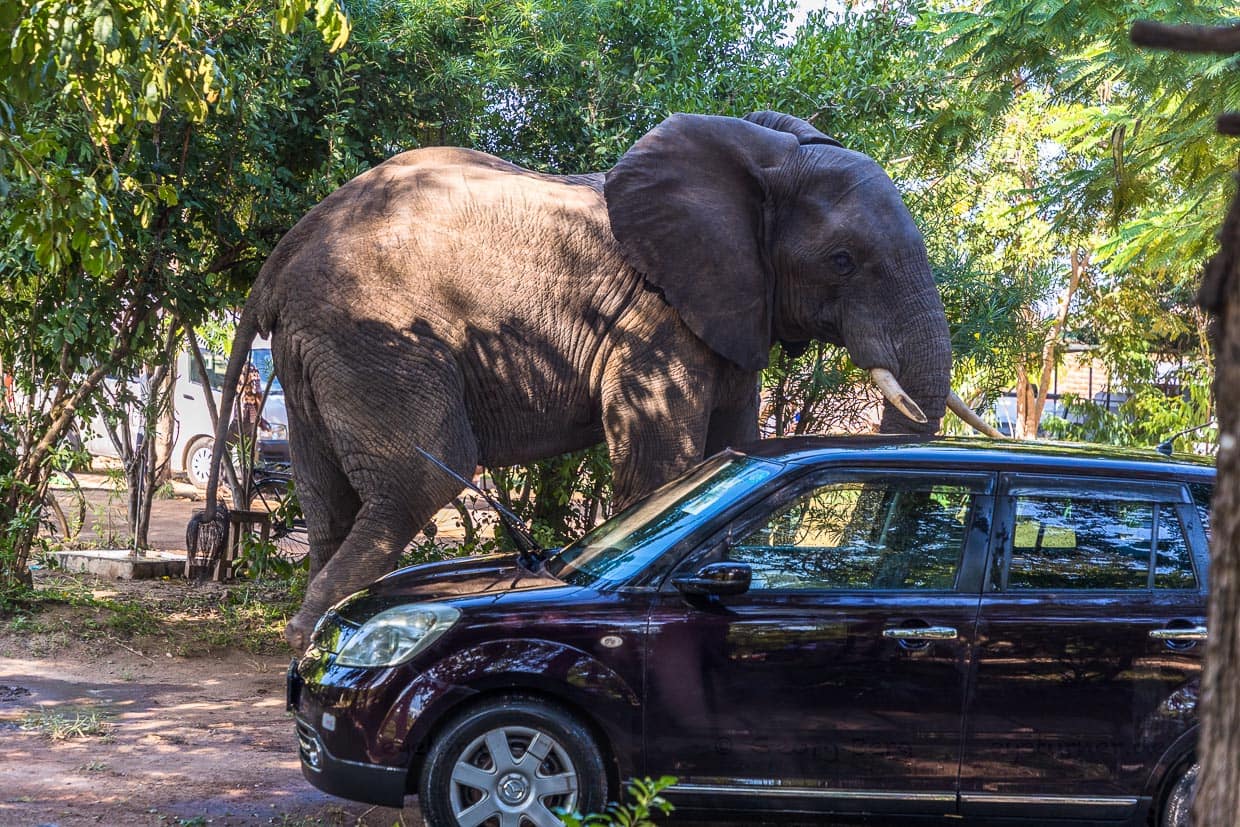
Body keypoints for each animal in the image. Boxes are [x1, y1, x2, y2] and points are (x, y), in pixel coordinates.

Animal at [195, 110, 995, 649]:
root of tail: (278, 261)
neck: (763, 157)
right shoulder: (658, 316)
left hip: (316, 353)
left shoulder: (732, 310)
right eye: (843, 262)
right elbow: (665, 460)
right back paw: (312, 635)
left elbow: (731, 444)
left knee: (326, 494)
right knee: (418, 481)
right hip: (374, 336)